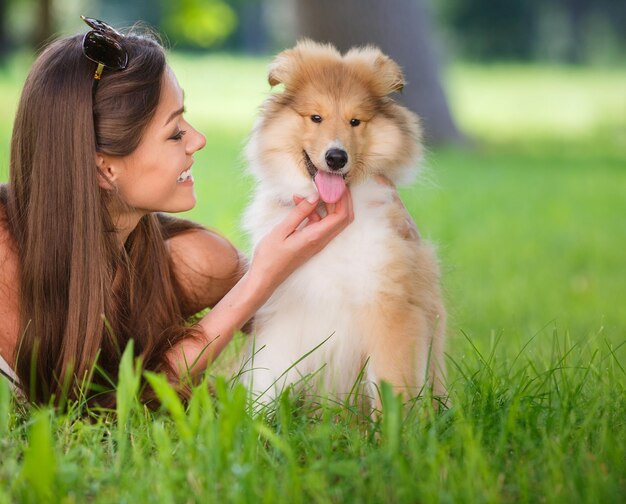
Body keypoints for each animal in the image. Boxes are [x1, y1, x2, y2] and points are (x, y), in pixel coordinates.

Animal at [241, 40, 446, 410]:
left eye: (355, 121)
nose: (336, 157)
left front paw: (396, 425)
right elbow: (267, 376)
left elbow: (394, 382)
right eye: (316, 117)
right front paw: (256, 417)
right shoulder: (285, 316)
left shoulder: (391, 302)